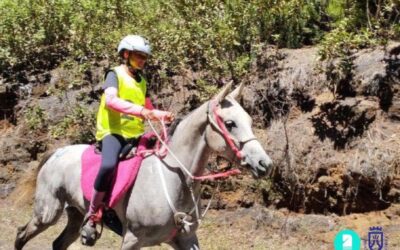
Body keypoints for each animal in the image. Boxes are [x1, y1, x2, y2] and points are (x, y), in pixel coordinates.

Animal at [14, 82, 272, 250]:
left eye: (249, 121)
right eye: (230, 123)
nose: (265, 164)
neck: (174, 179)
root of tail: (57, 152)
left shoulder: (186, 239)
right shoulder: (132, 240)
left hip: (75, 215)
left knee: (58, 243)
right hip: (47, 213)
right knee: (21, 235)